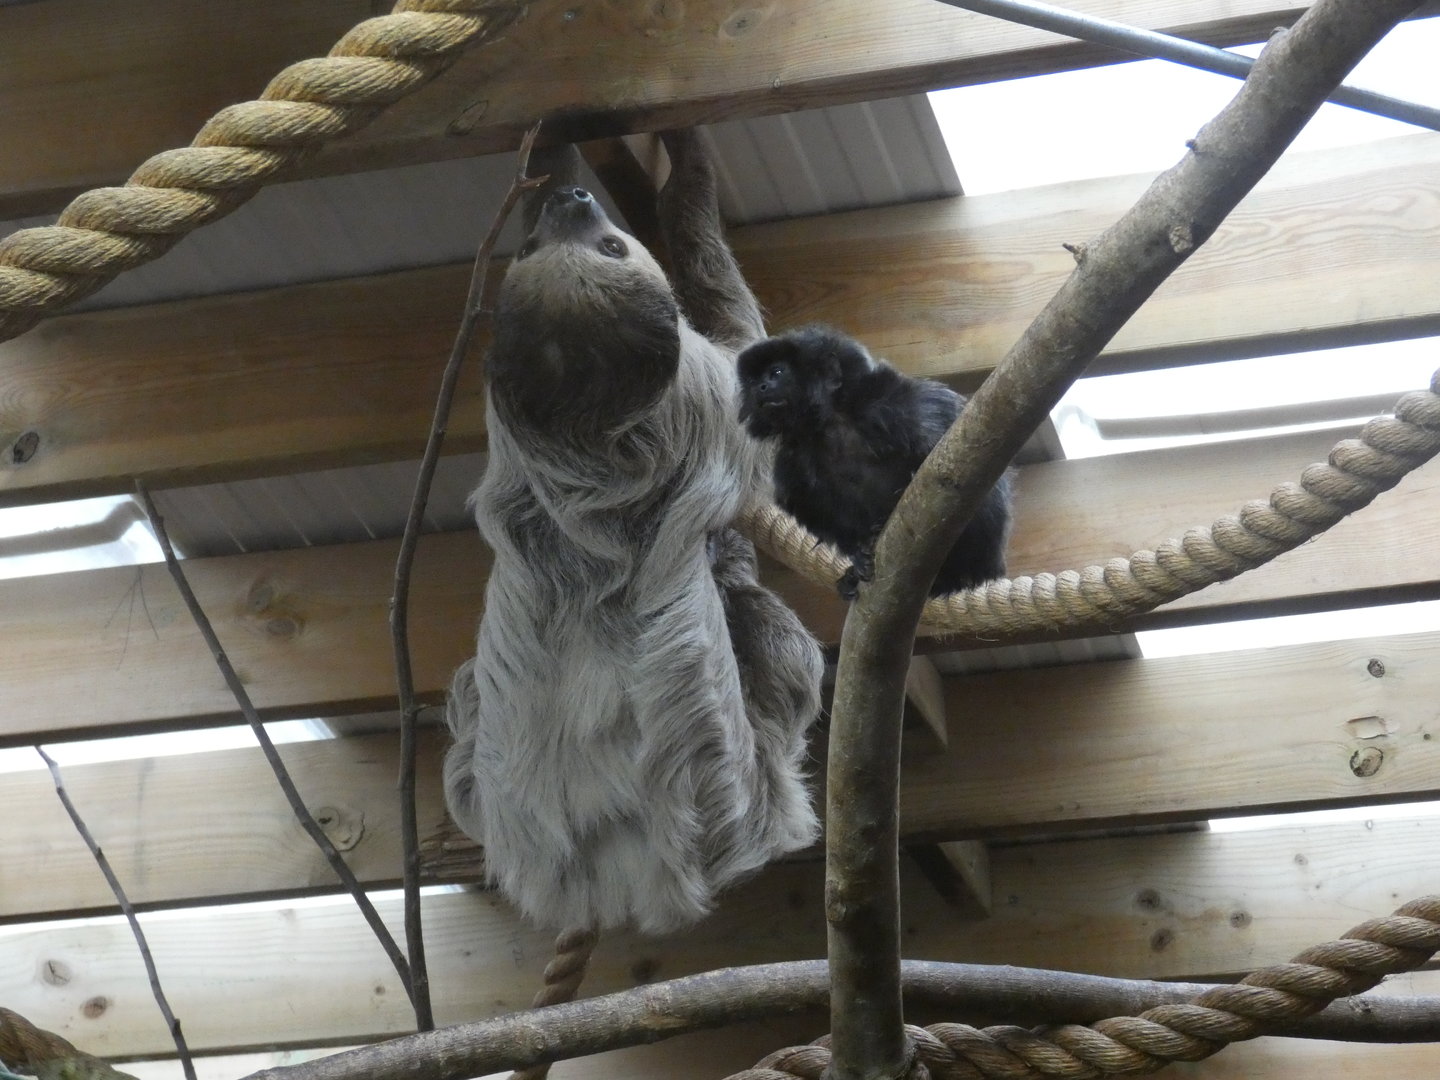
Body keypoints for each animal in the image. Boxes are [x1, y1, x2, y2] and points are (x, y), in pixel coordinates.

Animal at [443, 131, 824, 935]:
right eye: (615, 245)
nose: (569, 201)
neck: (595, 440)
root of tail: (620, 884)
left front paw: (551, 149)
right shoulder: (705, 392)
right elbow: (744, 347)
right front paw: (686, 157)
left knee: (462, 692)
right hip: (750, 800)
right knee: (777, 643)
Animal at [736, 324, 1013, 599]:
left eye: (776, 372)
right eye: (753, 381)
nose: (761, 387)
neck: (828, 426)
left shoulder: (893, 405)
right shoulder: (791, 463)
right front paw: (858, 555)